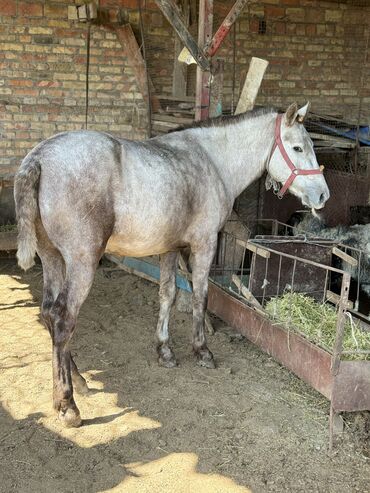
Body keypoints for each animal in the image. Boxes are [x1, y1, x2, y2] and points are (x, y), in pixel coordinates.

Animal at [14, 102, 330, 424]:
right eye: (297, 147)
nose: (322, 195)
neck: (213, 161)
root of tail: (39, 158)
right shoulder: (204, 244)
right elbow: (201, 296)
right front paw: (202, 351)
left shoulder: (169, 248)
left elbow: (167, 295)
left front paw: (164, 350)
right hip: (82, 262)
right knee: (63, 319)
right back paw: (67, 404)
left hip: (51, 257)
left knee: (48, 313)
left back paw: (78, 380)